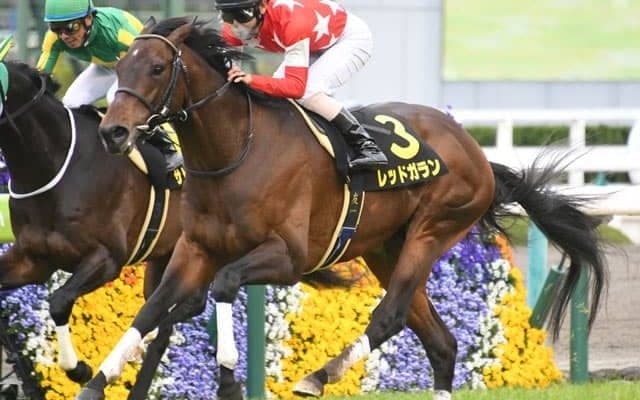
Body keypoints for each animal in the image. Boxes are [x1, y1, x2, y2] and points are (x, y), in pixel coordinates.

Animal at [0, 61, 203, 400]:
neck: (52, 164)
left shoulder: (107, 259)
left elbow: (59, 301)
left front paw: (78, 369)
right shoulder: (33, 259)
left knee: (179, 313)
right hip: (162, 258)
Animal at [86, 17, 608, 400]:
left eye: (157, 68)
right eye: (120, 67)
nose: (112, 132)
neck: (235, 151)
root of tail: (475, 151)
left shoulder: (288, 256)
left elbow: (225, 284)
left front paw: (231, 379)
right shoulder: (197, 248)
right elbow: (153, 309)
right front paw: (94, 383)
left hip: (434, 228)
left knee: (390, 316)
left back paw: (318, 376)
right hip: (386, 248)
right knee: (440, 343)